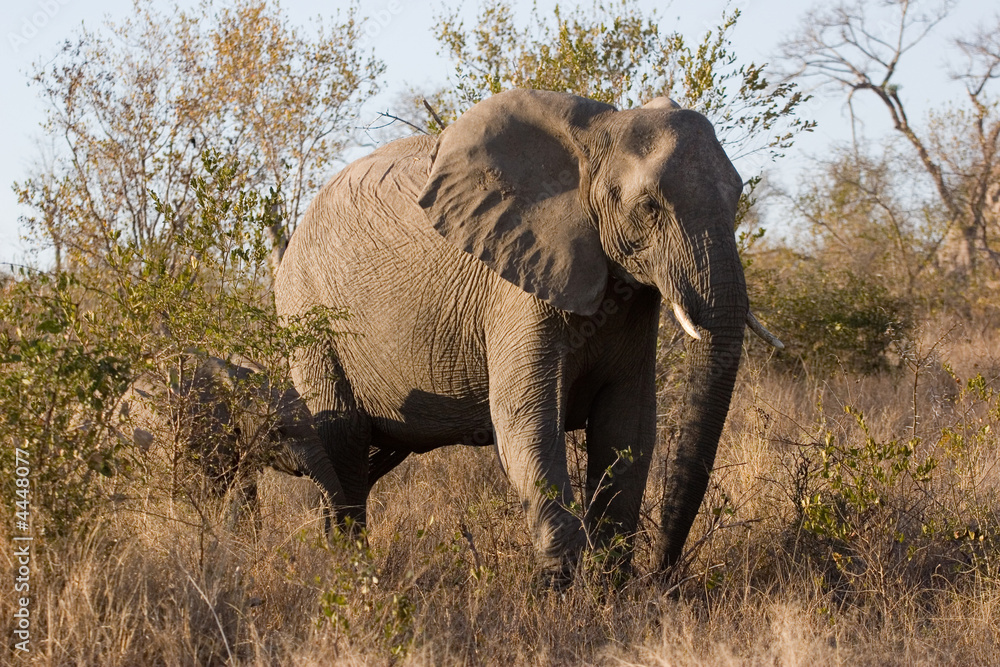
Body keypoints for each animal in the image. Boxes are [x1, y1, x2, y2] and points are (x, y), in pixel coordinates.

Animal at [273, 89, 782, 583]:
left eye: (737, 195)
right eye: (648, 207)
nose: (661, 574)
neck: (592, 141)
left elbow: (628, 425)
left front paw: (611, 589)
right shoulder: (517, 284)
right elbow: (527, 423)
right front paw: (563, 592)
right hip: (307, 317)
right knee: (345, 443)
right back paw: (348, 573)